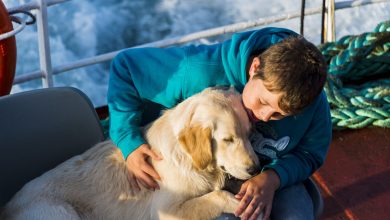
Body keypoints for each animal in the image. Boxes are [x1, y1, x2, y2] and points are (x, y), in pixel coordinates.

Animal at [3, 87, 260, 219]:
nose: (256, 168)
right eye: (227, 139)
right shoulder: (166, 211)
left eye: (250, 133)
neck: (191, 160)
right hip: (60, 213)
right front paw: (237, 202)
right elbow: (218, 195)